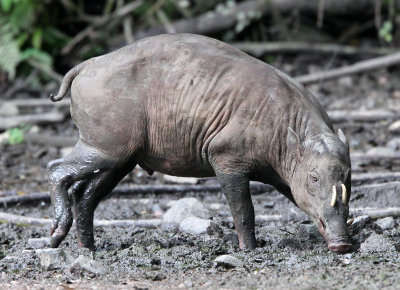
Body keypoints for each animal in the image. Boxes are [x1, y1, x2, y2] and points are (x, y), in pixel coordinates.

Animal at [48, 32, 352, 253]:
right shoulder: (226, 158)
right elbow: (244, 210)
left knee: (84, 194)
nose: (343, 245)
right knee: (56, 169)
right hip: (106, 147)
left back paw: (87, 248)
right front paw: (250, 250)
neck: (285, 129)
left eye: (348, 177)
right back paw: (55, 235)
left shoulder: (284, 177)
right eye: (313, 178)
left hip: (123, 157)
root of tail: (86, 64)